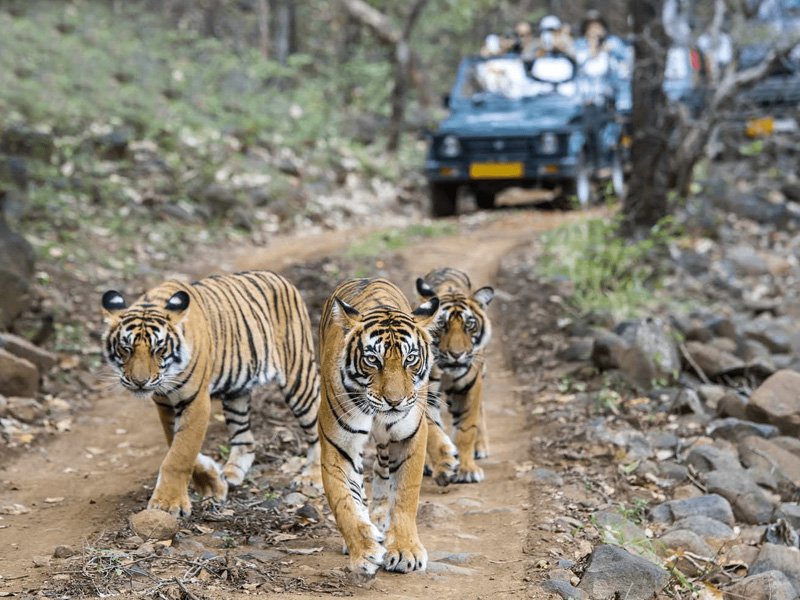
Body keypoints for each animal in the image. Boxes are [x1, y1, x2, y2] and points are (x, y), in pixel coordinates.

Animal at [101, 270, 320, 516]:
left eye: (159, 349)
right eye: (125, 348)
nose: (140, 382)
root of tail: (279, 277)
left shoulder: (195, 401)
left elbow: (180, 453)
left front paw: (168, 503)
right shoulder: (165, 404)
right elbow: (175, 444)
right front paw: (212, 482)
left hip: (299, 377)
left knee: (317, 428)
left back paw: (312, 477)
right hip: (236, 392)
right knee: (245, 439)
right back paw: (232, 474)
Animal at [318, 278, 444, 580]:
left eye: (410, 359)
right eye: (373, 360)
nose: (394, 401)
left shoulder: (410, 437)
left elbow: (405, 495)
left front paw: (405, 551)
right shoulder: (338, 446)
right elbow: (345, 503)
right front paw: (364, 551)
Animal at [418, 268, 494, 482]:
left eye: (469, 325)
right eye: (442, 325)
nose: (457, 354)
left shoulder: (469, 387)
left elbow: (466, 428)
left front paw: (467, 470)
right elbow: (432, 430)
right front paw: (444, 465)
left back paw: (481, 447)